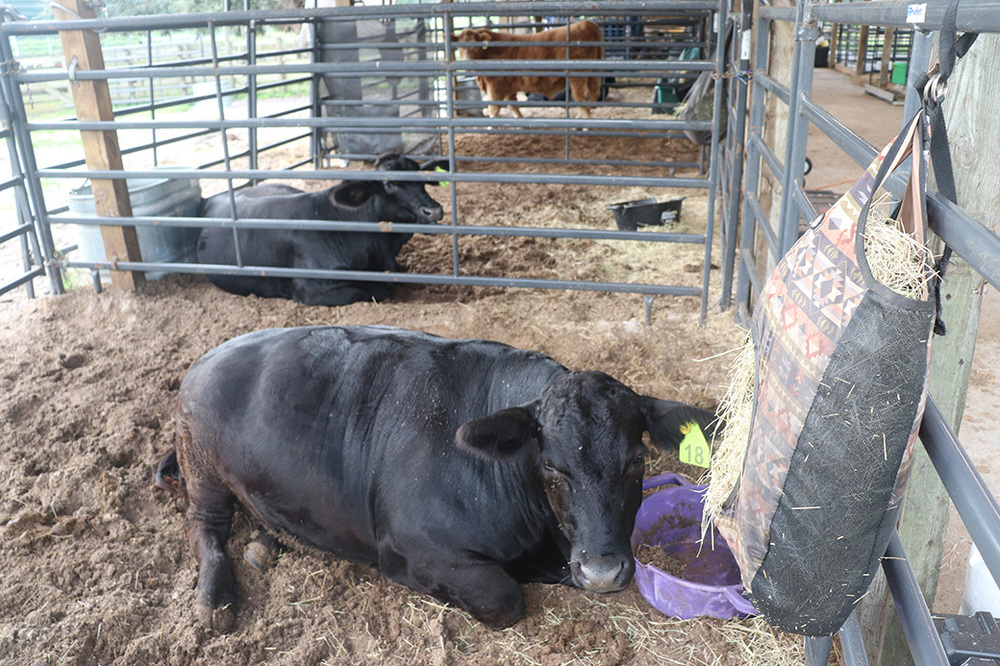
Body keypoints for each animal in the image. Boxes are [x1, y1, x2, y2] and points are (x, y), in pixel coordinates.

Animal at [154, 325, 719, 631]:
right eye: (551, 466)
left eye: (637, 462)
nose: (602, 571)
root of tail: (208, 357)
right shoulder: (411, 550)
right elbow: (505, 598)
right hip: (203, 468)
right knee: (204, 527)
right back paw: (215, 600)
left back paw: (266, 542)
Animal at [453, 21, 604, 119]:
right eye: (459, 48)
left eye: (475, 46)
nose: (466, 66)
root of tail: (586, 23)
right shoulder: (508, 87)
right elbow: (512, 105)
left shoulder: (495, 86)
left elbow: (494, 109)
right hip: (593, 74)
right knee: (593, 95)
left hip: (578, 75)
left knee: (582, 96)